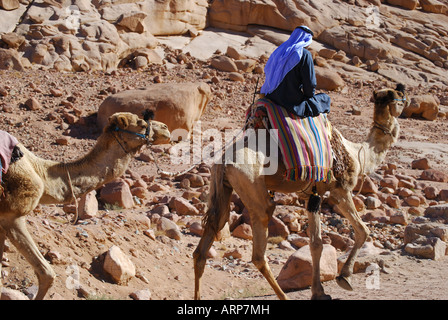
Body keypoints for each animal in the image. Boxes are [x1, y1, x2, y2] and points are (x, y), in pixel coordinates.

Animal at [0, 111, 171, 298]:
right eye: (141, 124)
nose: (166, 129)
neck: (40, 171)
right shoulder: (12, 216)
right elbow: (47, 274)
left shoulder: (2, 223)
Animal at [194, 84, 408, 298]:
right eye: (400, 97)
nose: (406, 101)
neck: (356, 153)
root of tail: (224, 161)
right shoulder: (340, 190)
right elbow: (362, 230)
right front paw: (344, 277)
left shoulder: (311, 196)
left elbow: (316, 243)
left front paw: (319, 291)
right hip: (251, 184)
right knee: (259, 250)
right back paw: (284, 296)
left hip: (222, 188)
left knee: (208, 239)